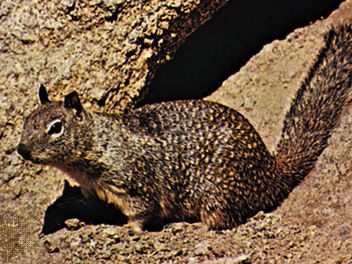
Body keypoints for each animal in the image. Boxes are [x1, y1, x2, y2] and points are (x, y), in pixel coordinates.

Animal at [17, 24, 352, 231]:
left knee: (223, 220)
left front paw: (129, 229)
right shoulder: (95, 190)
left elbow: (142, 212)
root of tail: (271, 171)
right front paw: (74, 212)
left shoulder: (134, 184)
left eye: (56, 127)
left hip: (218, 193)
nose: (21, 149)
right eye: (27, 120)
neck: (97, 144)